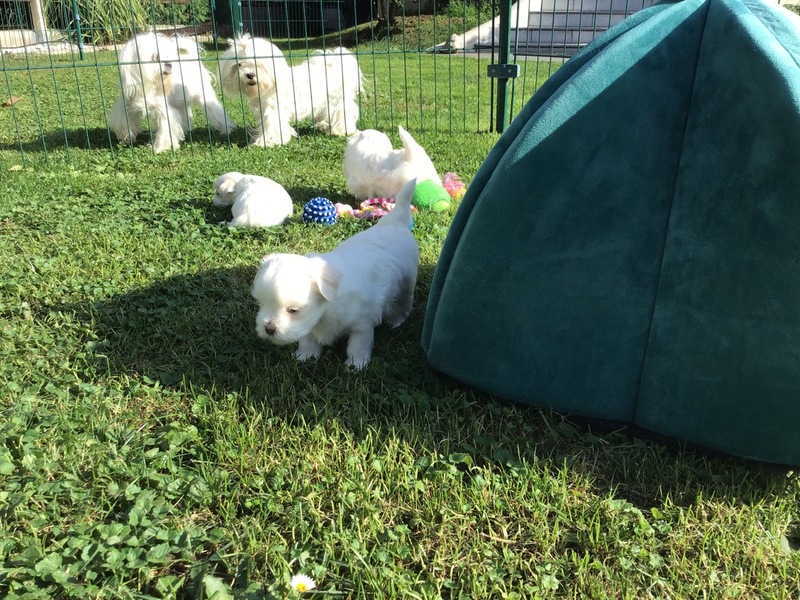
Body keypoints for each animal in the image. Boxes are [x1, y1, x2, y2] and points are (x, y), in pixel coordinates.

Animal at [218, 34, 364, 147]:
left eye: (259, 63)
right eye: (239, 64)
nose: (249, 75)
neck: (268, 87)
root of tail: (334, 62)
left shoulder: (274, 110)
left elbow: (273, 126)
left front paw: (268, 142)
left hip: (337, 100)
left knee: (343, 113)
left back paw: (341, 130)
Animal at [252, 178, 419, 369]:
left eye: (293, 310)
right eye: (260, 303)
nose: (268, 329)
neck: (330, 303)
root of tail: (395, 223)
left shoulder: (362, 324)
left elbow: (357, 345)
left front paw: (356, 365)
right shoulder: (311, 325)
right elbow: (308, 340)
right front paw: (305, 356)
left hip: (407, 282)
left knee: (405, 302)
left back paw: (396, 320)